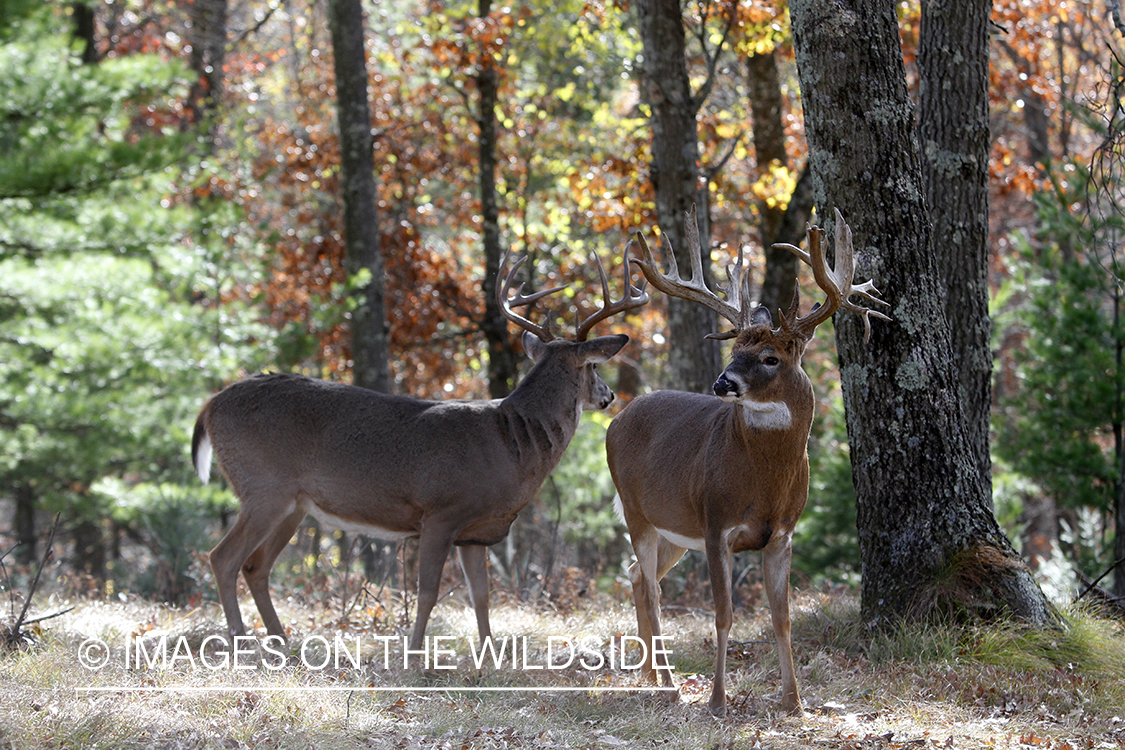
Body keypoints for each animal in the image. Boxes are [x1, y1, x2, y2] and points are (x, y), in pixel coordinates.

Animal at [195, 246, 652, 652]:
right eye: (593, 366)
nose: (609, 396)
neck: (511, 443)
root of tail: (211, 404)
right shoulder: (440, 512)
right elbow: (428, 592)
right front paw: (413, 659)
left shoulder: (476, 531)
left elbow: (481, 595)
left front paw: (489, 661)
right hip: (263, 486)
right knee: (222, 558)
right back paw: (241, 643)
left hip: (294, 504)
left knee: (256, 566)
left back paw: (283, 645)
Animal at [607, 210, 886, 715]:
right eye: (734, 351)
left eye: (770, 357)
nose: (723, 382)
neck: (765, 484)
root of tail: (616, 419)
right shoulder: (717, 523)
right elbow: (723, 614)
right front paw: (718, 701)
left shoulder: (782, 533)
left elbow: (782, 618)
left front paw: (795, 703)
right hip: (638, 512)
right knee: (652, 589)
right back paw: (670, 686)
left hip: (673, 530)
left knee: (638, 577)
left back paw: (651, 676)